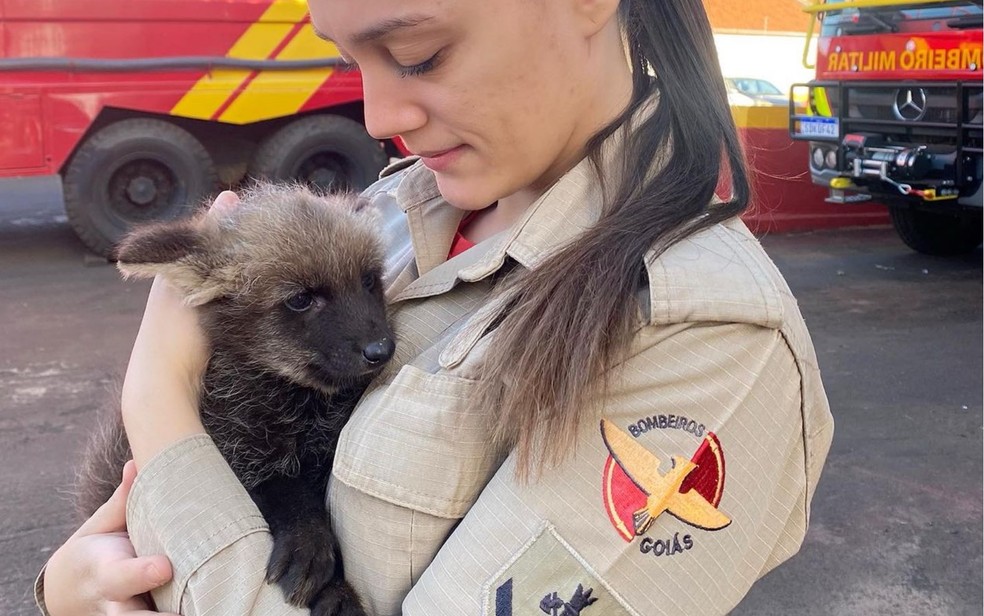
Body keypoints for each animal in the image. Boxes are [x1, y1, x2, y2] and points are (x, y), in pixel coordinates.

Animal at [76, 183, 394, 616]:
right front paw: (312, 551)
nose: (381, 349)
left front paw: (337, 591)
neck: (302, 412)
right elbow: (287, 493)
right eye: (300, 299)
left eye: (368, 281)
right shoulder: (238, 455)